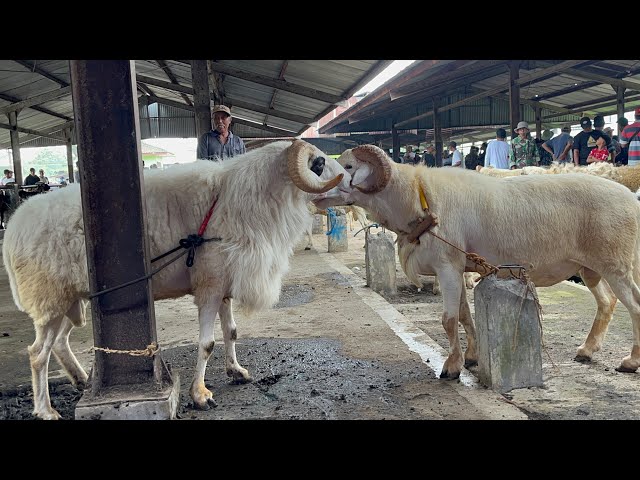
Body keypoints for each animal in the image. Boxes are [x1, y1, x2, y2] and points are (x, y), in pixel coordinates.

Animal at [2, 140, 351, 420]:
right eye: (318, 163)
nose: (349, 181)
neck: (244, 200)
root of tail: (14, 228)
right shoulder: (208, 287)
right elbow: (207, 343)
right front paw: (200, 395)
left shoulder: (222, 286)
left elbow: (232, 332)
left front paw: (236, 371)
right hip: (49, 300)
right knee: (38, 354)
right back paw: (46, 410)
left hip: (67, 300)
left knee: (59, 344)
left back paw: (82, 381)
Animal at [331, 144, 640, 380]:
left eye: (348, 166)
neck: (417, 195)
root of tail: (631, 199)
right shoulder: (456, 267)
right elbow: (464, 315)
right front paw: (471, 357)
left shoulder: (447, 265)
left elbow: (448, 319)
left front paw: (451, 368)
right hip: (591, 266)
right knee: (607, 302)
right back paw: (587, 350)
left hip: (615, 264)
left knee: (634, 307)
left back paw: (630, 362)